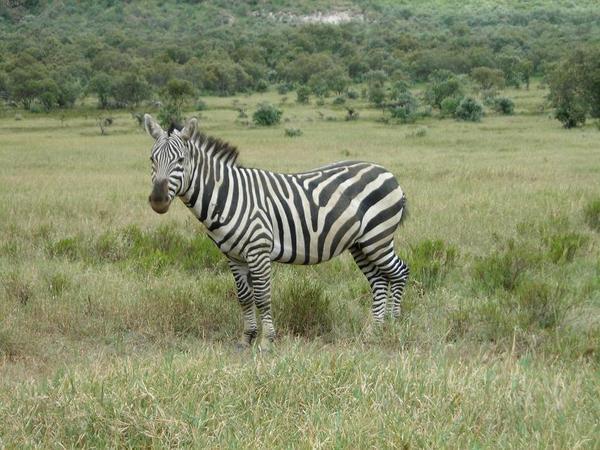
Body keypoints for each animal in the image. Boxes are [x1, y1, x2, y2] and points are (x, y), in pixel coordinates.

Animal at [143, 114, 410, 350]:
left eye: (180, 160)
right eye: (152, 159)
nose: (157, 200)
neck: (228, 195)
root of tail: (387, 172)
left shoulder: (258, 250)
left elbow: (262, 296)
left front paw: (267, 341)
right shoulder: (233, 256)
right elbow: (244, 297)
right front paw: (246, 338)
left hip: (378, 237)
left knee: (400, 272)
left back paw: (394, 324)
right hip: (361, 244)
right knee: (379, 281)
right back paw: (373, 331)